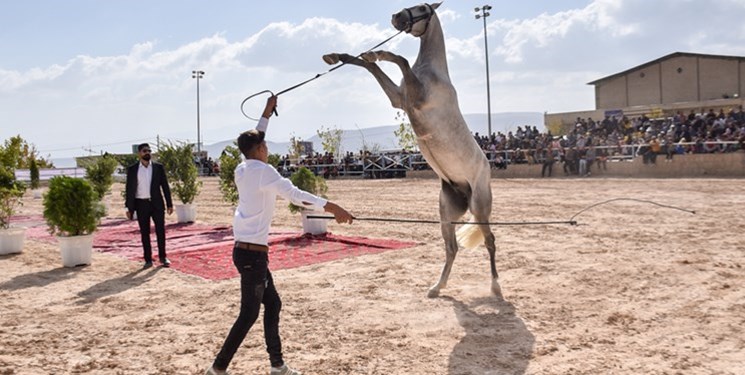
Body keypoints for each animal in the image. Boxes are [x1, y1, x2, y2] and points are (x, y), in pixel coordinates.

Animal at [322, 1, 500, 298]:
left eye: (421, 8)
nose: (396, 17)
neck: (431, 71)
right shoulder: (399, 99)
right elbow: (369, 66)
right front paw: (340, 56)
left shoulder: (415, 97)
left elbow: (401, 60)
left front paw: (378, 53)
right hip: (447, 213)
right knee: (451, 248)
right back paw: (437, 287)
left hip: (480, 207)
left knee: (490, 241)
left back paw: (496, 288)